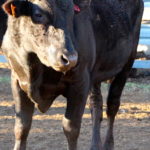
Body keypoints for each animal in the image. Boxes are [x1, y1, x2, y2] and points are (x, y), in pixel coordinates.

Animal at [0, 0, 143, 150]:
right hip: (95, 75)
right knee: (96, 105)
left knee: (112, 105)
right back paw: (95, 145)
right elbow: (22, 126)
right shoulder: (17, 80)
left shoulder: (80, 82)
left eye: (72, 14)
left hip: (127, 64)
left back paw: (108, 145)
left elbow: (71, 128)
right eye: (38, 14)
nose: (72, 58)